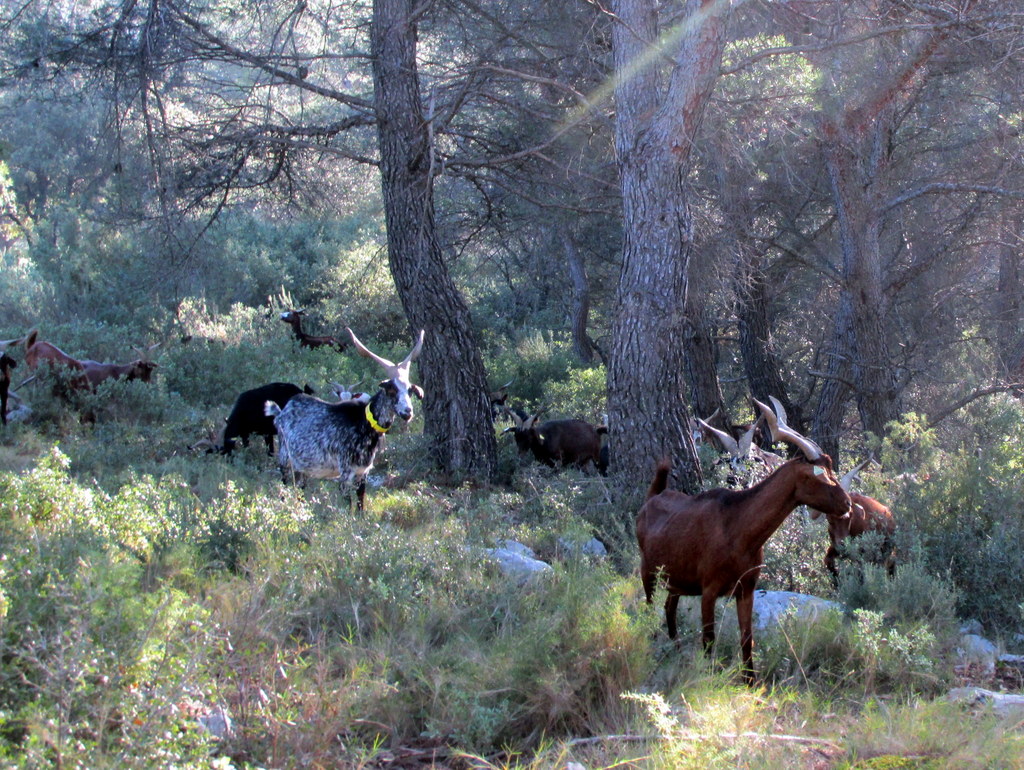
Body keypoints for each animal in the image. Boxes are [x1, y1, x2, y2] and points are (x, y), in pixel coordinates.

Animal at [266, 327, 425, 507]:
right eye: (391, 389)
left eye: (410, 390)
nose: (407, 412)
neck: (363, 424)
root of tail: (281, 412)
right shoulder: (345, 472)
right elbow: (348, 506)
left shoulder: (363, 472)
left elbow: (361, 503)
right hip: (285, 460)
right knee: (285, 487)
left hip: (302, 467)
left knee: (300, 490)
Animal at [634, 399, 851, 683]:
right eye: (820, 475)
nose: (847, 504)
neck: (738, 530)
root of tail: (652, 498)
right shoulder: (709, 589)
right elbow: (709, 640)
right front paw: (709, 676)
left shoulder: (746, 588)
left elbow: (747, 639)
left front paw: (750, 682)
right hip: (647, 572)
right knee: (650, 610)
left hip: (675, 580)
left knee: (669, 608)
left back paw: (677, 650)